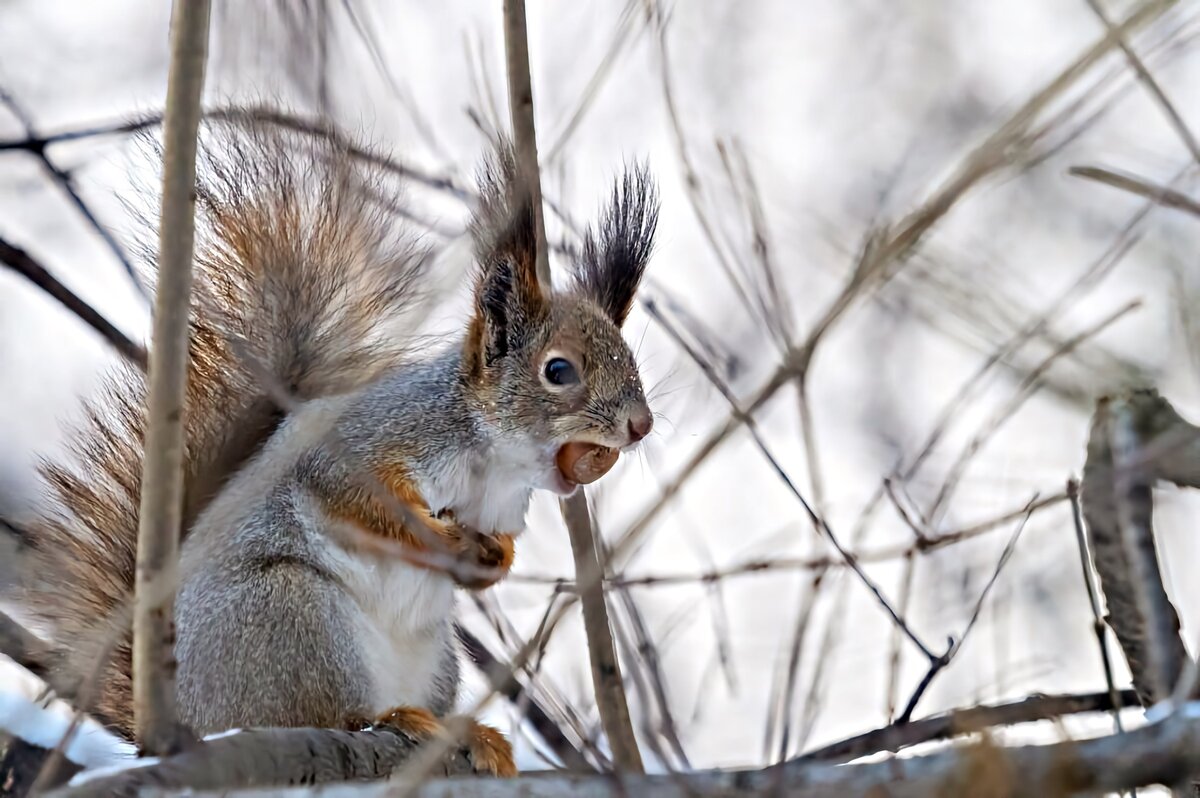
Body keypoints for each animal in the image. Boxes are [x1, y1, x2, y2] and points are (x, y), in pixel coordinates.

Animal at [7, 118, 657, 777]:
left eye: (630, 359)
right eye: (558, 370)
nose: (641, 425)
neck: (495, 461)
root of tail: (183, 723)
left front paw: (492, 558)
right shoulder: (368, 438)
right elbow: (351, 495)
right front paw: (436, 537)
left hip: (434, 658)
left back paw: (467, 733)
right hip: (296, 617)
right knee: (327, 711)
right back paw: (392, 719)